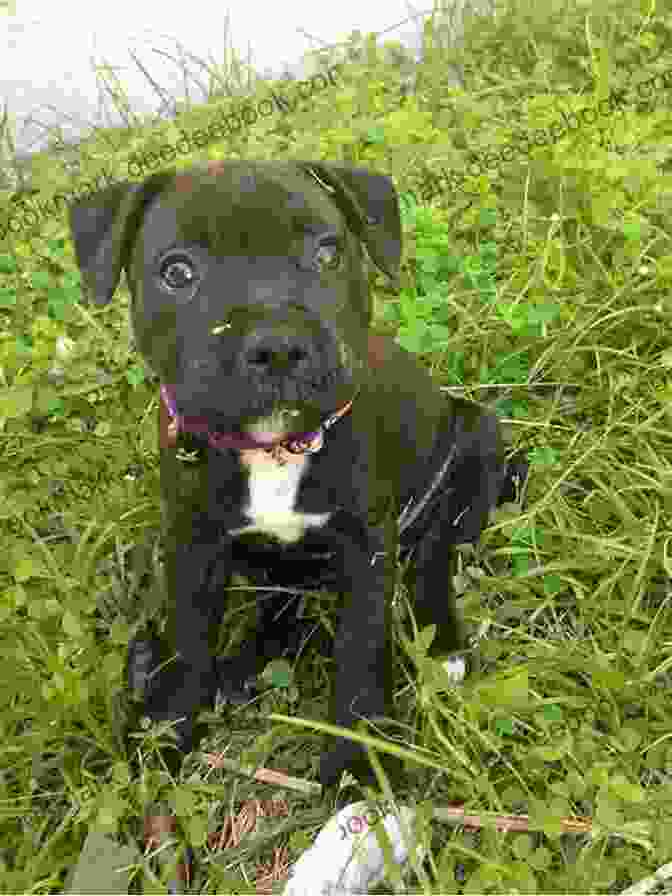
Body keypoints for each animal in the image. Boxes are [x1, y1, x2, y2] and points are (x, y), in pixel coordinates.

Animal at [67, 158, 524, 788]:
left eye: (328, 253)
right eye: (177, 272)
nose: (278, 346)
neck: (275, 450)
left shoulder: (367, 547)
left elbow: (360, 649)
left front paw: (361, 762)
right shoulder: (192, 543)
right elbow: (187, 639)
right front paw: (165, 731)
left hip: (476, 441)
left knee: (432, 556)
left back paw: (444, 646)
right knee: (284, 602)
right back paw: (243, 665)